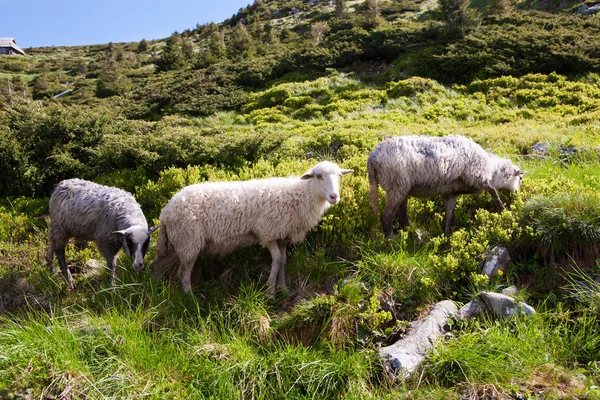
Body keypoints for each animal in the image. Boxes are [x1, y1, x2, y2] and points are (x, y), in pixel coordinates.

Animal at [150, 161, 354, 296]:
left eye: (339, 176)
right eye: (319, 176)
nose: (334, 196)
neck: (299, 195)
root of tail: (166, 210)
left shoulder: (282, 237)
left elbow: (283, 261)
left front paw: (283, 289)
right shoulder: (268, 234)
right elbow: (277, 260)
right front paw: (270, 292)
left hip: (178, 243)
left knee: (157, 266)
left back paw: (155, 291)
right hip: (188, 241)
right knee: (183, 274)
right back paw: (190, 298)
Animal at [368, 136, 524, 239]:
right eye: (520, 179)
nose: (517, 195)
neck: (491, 169)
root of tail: (372, 158)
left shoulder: (450, 194)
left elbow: (449, 215)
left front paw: (446, 236)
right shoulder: (477, 176)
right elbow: (494, 192)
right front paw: (505, 212)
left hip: (401, 188)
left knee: (402, 215)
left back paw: (415, 236)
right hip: (396, 185)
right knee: (387, 216)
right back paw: (391, 242)